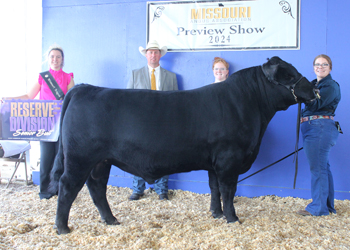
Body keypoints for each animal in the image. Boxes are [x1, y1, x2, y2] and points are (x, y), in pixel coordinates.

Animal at [50, 56, 318, 234]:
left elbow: (214, 188)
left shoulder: (214, 162)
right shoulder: (229, 159)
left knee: (96, 188)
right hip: (80, 158)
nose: (313, 87)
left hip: (101, 161)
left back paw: (110, 219)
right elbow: (229, 190)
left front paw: (216, 213)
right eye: (289, 75)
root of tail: (84, 88)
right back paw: (63, 228)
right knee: (68, 186)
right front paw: (232, 218)